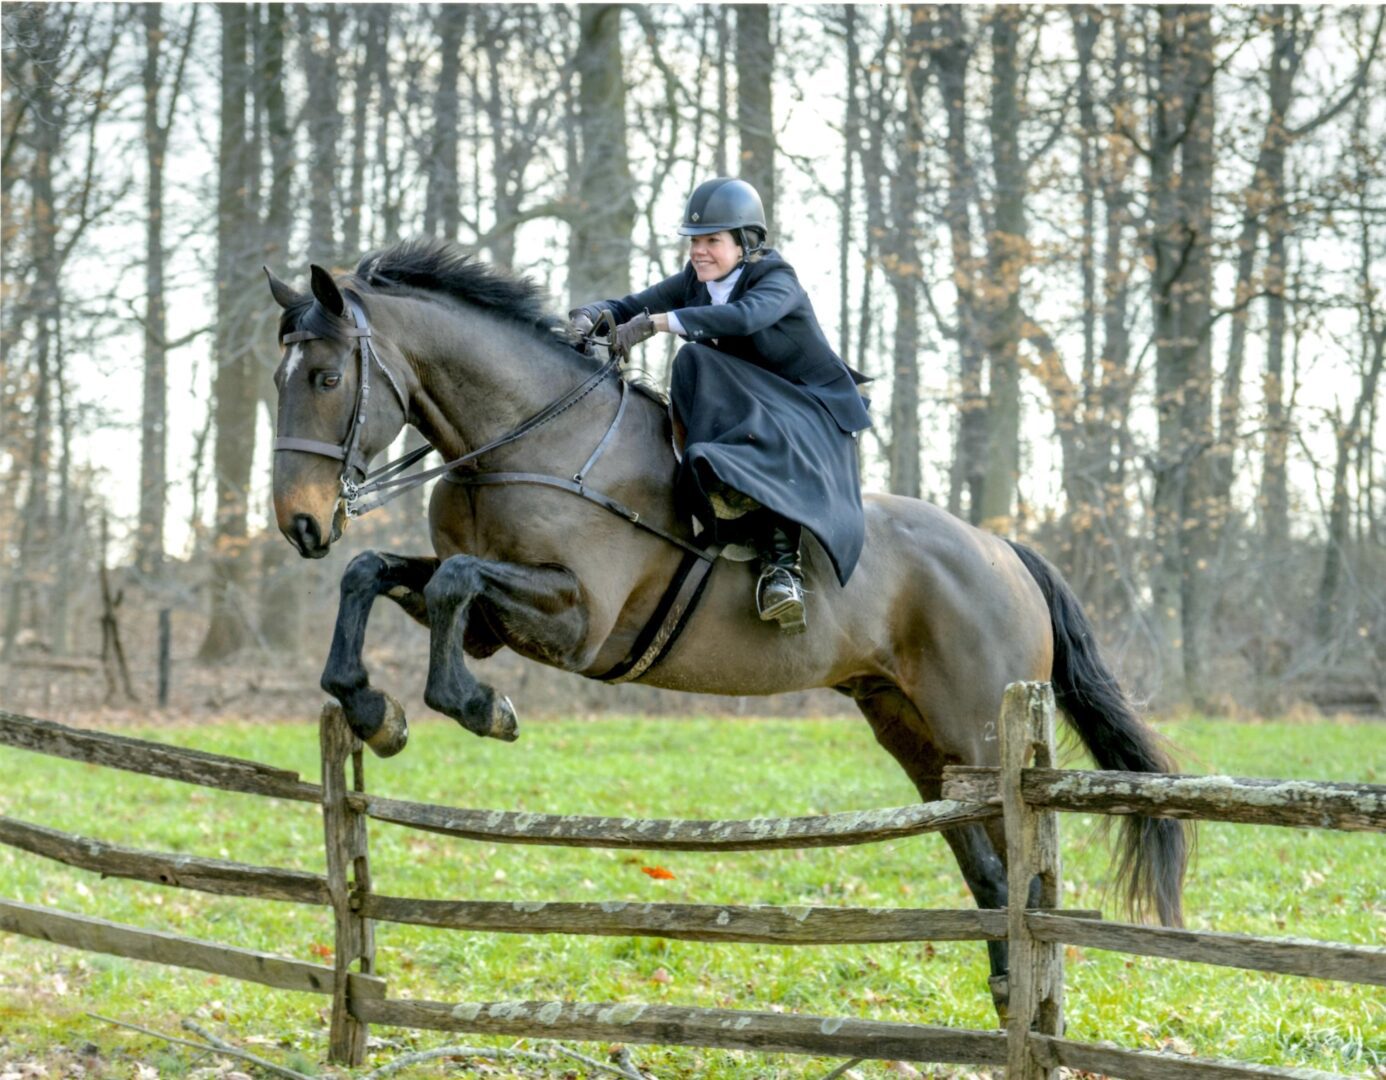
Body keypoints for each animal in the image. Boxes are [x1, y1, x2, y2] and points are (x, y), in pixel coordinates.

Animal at [264, 238, 1186, 1020]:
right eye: (281, 379)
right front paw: (373, 711)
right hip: (915, 735)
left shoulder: (576, 620)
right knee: (989, 868)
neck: (526, 442)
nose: (300, 525)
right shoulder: (490, 615)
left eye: (325, 378)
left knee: (1024, 863)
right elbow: (374, 573)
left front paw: (479, 707)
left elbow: (454, 583)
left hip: (980, 732)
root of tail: (1005, 551)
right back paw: (1005, 993)